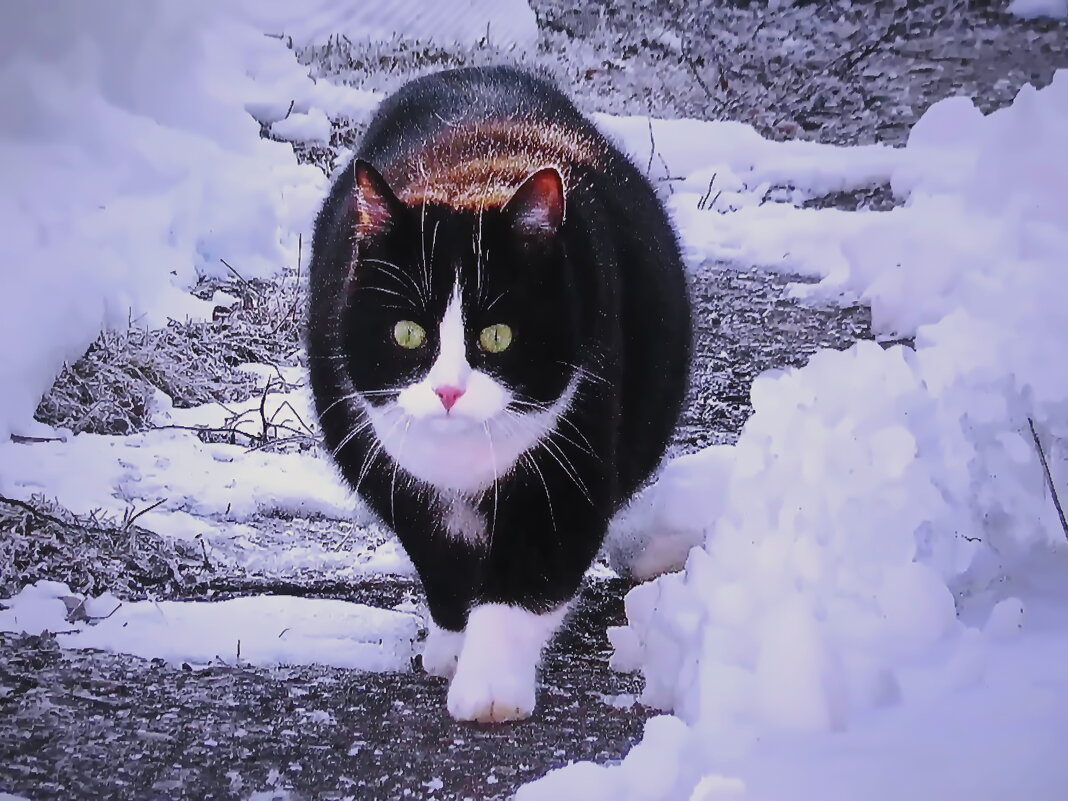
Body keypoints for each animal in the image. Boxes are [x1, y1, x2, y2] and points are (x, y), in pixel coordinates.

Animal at [309, 65, 692, 726]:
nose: (448, 390)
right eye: (407, 333)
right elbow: (438, 557)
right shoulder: (383, 466)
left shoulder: (571, 453)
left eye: (498, 335)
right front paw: (452, 645)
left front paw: (489, 691)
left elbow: (528, 575)